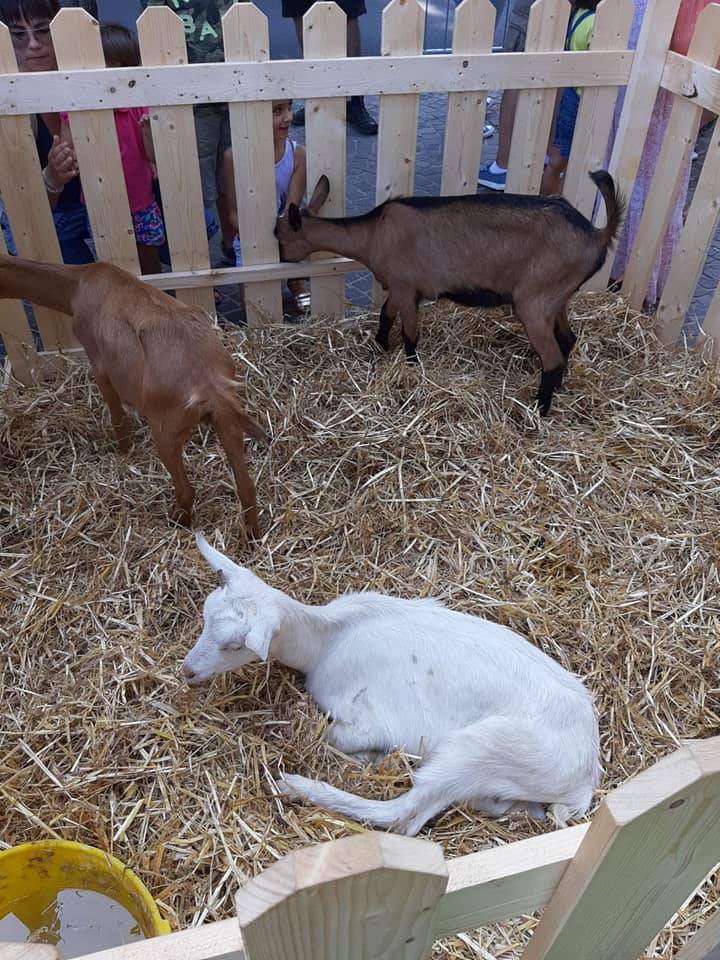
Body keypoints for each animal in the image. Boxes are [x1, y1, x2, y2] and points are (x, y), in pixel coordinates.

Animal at [0, 253, 264, 540]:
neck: (79, 282)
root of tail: (211, 387)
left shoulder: (99, 362)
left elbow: (116, 412)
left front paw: (123, 451)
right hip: (228, 423)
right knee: (247, 487)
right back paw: (251, 538)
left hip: (166, 429)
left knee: (186, 489)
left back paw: (176, 522)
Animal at [186, 536, 600, 836]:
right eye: (205, 614)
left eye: (234, 645)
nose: (188, 670)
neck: (327, 641)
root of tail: (586, 774)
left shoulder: (369, 717)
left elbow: (337, 736)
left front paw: (362, 754)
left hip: (483, 749)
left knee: (405, 816)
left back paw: (297, 784)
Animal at [276, 172, 624, 412]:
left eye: (279, 236)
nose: (281, 260)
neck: (374, 233)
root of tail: (597, 233)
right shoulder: (403, 289)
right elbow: (385, 316)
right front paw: (380, 347)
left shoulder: (406, 287)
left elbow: (410, 334)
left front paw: (412, 370)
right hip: (557, 297)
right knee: (568, 339)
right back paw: (558, 391)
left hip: (534, 301)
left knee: (552, 358)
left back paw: (539, 410)